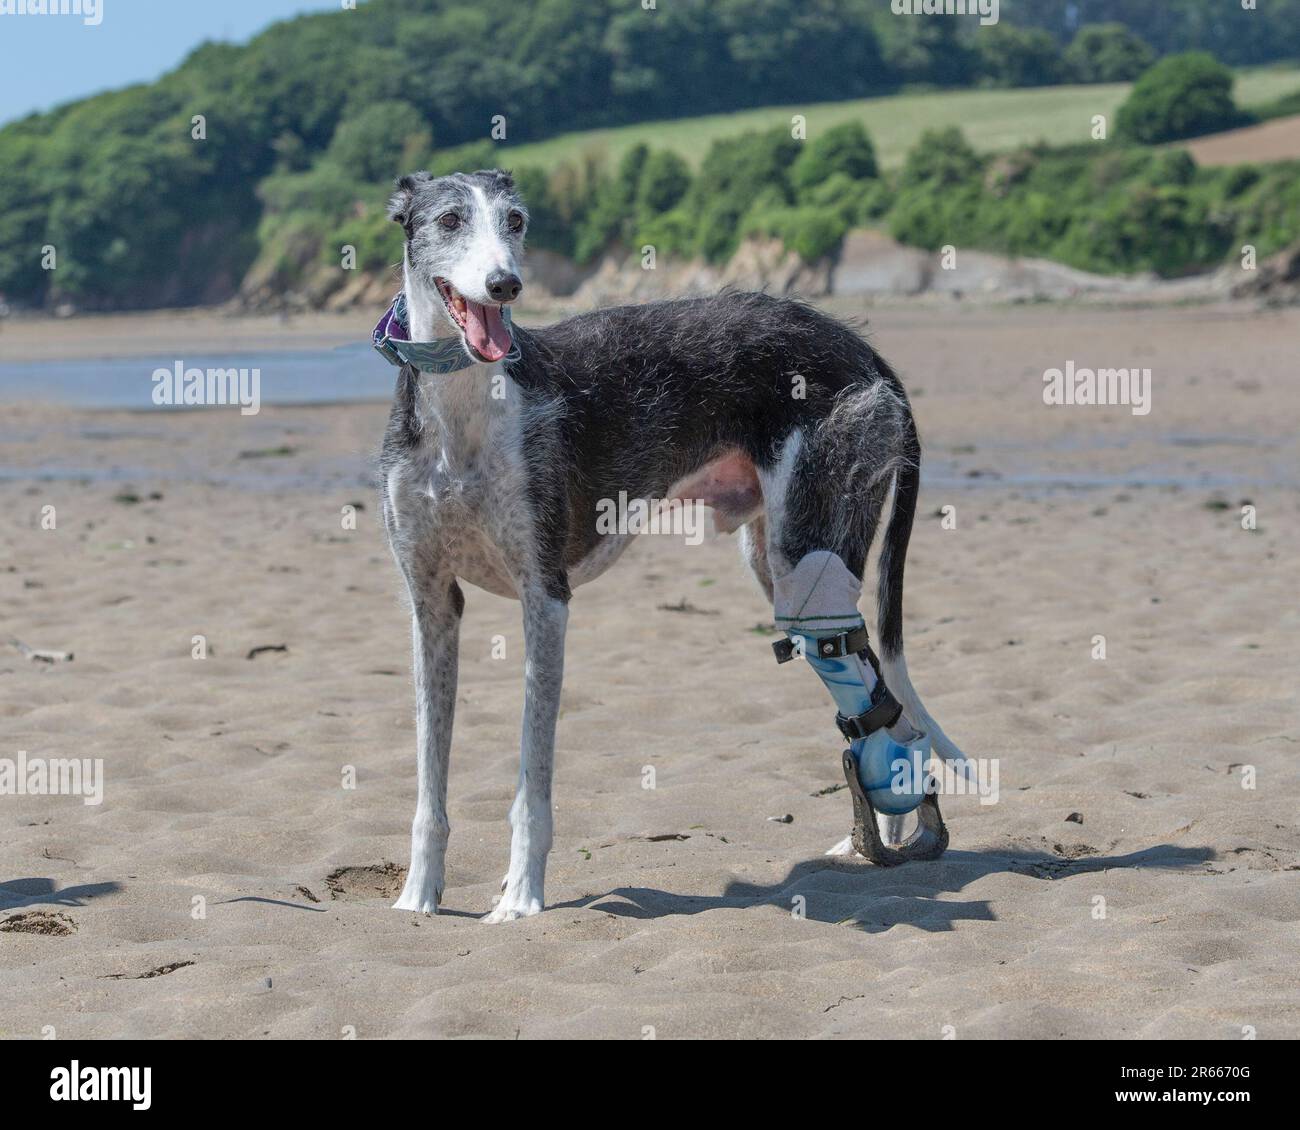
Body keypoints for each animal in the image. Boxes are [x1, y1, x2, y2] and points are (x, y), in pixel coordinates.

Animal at [377, 171, 967, 920]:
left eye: (515, 221)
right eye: (450, 219)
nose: (505, 284)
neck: (464, 413)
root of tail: (867, 354)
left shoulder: (546, 597)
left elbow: (531, 778)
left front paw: (521, 897)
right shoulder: (431, 603)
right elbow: (430, 774)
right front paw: (418, 896)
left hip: (809, 547)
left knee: (873, 683)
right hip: (780, 557)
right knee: (874, 691)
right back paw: (878, 841)